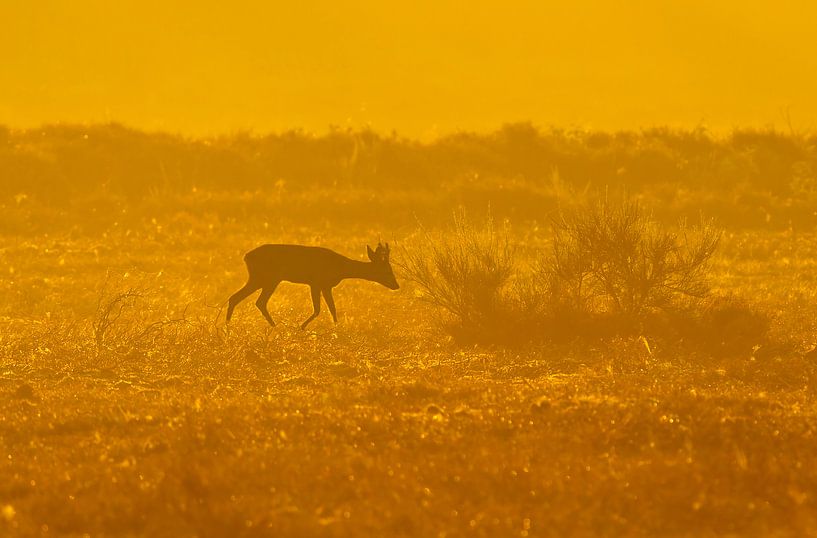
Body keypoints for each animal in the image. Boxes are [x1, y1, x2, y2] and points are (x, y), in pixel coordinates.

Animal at [226, 242, 398, 326]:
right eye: (387, 271)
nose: (397, 285)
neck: (341, 268)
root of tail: (246, 256)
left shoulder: (322, 285)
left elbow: (331, 309)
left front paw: (336, 328)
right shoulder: (318, 282)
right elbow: (320, 309)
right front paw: (302, 327)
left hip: (264, 279)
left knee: (241, 298)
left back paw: (228, 327)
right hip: (267, 278)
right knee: (254, 300)